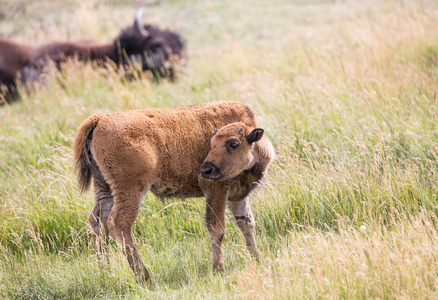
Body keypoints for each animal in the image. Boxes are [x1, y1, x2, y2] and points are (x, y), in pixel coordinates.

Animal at [73, 101, 276, 282]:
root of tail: (101, 119)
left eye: (233, 144)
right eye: (213, 144)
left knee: (96, 224)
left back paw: (106, 273)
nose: (205, 170)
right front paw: (219, 269)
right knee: (118, 224)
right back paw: (145, 277)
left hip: (104, 187)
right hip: (131, 190)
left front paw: (257, 258)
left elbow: (247, 224)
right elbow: (217, 228)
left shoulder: (238, 196)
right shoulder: (216, 191)